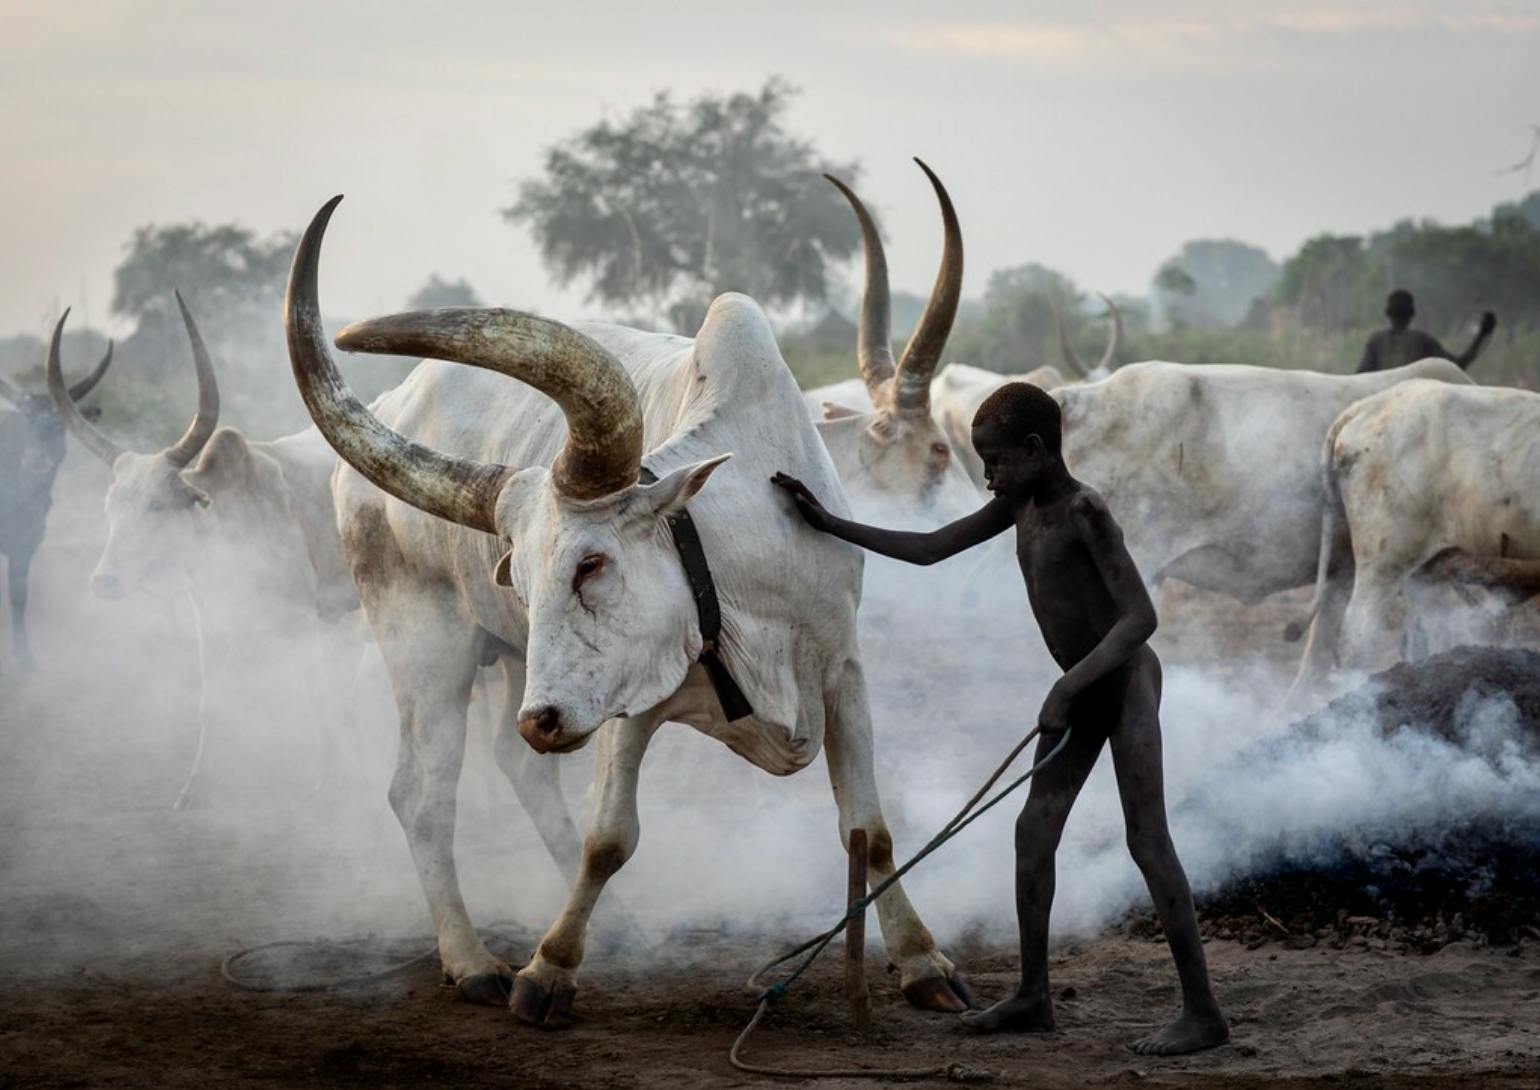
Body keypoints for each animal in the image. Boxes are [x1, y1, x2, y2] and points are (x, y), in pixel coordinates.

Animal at [0, 324, 112, 671]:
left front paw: (26, 659)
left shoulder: (26, 544)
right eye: (25, 421)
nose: (36, 461)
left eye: (59, 422)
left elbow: (18, 596)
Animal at [285, 196, 970, 1024]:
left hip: (518, 669)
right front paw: (547, 971)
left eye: (591, 563)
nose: (543, 720)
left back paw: (620, 923)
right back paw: (472, 960)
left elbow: (868, 828)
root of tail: (390, 406)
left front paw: (922, 960)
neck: (737, 574)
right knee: (423, 796)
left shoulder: (841, 669)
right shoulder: (625, 702)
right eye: (522, 580)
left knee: (513, 766)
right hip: (427, 647)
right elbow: (609, 838)